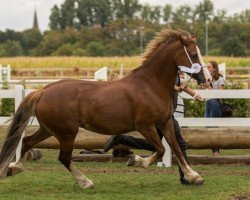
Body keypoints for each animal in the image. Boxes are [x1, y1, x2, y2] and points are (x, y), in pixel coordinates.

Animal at [0, 28, 211, 189]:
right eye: (193, 55)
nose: (207, 79)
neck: (151, 85)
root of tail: (43, 90)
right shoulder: (146, 126)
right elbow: (160, 150)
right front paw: (136, 161)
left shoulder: (165, 123)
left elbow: (176, 148)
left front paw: (194, 176)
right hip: (67, 133)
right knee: (64, 157)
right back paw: (86, 182)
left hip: (49, 129)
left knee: (27, 141)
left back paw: (13, 168)